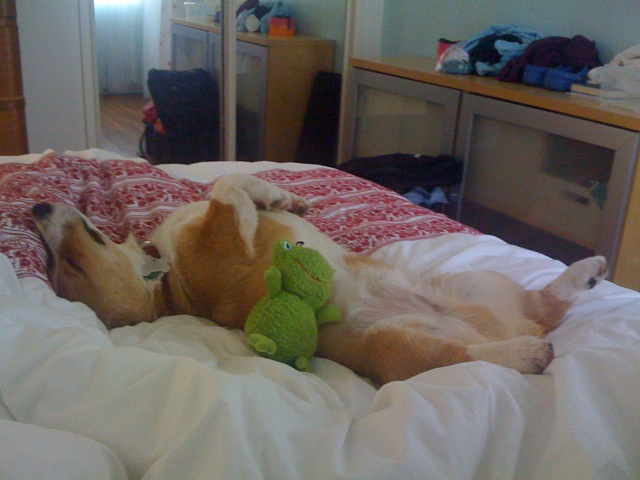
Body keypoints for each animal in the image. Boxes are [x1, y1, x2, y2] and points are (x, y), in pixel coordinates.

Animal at [32, 174, 608, 384]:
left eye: (68, 264)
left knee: (549, 303)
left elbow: (232, 183)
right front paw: (262, 202)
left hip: (481, 282)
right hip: (394, 344)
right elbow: (226, 187)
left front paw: (280, 198)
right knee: (464, 357)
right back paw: (528, 354)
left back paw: (586, 274)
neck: (166, 283)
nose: (36, 208)